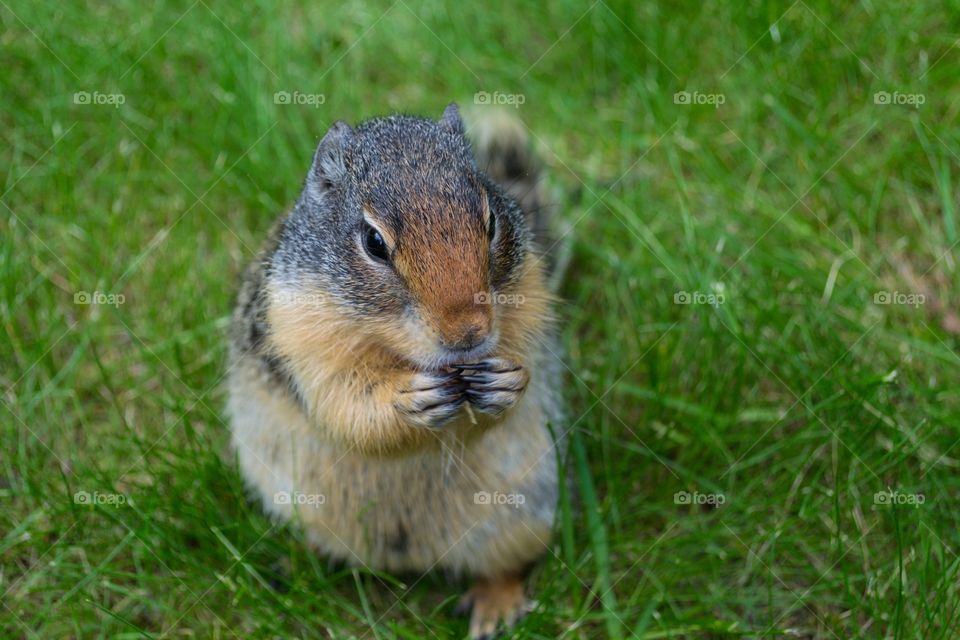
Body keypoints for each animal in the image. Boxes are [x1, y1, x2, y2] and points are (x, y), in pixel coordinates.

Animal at [227, 102, 564, 636]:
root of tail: (408, 563)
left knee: (506, 565)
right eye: (373, 242)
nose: (468, 333)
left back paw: (496, 605)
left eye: (492, 219)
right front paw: (405, 400)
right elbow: (344, 407)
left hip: (519, 518)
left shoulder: (529, 298)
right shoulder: (296, 334)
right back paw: (294, 564)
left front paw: (508, 384)